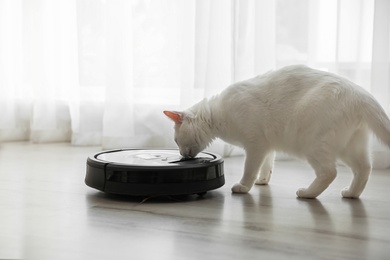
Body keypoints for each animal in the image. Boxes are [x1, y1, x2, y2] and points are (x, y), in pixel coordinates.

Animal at [164, 64, 390, 197]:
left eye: (175, 141)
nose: (182, 154)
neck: (217, 114)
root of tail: (361, 93)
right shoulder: (266, 146)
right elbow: (266, 166)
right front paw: (262, 182)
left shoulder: (255, 145)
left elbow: (249, 169)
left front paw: (244, 187)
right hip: (350, 148)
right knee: (364, 169)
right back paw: (351, 193)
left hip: (314, 145)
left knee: (329, 172)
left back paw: (307, 193)